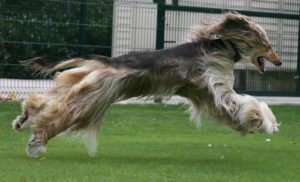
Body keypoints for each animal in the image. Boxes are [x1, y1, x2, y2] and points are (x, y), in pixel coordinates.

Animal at [12, 13, 282, 158]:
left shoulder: (205, 93)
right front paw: (265, 123)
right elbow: (244, 104)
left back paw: (24, 118)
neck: (225, 47)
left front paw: (260, 123)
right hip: (94, 98)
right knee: (60, 115)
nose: (279, 62)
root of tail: (108, 61)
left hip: (81, 83)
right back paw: (36, 142)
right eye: (268, 46)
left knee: (45, 101)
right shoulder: (215, 84)